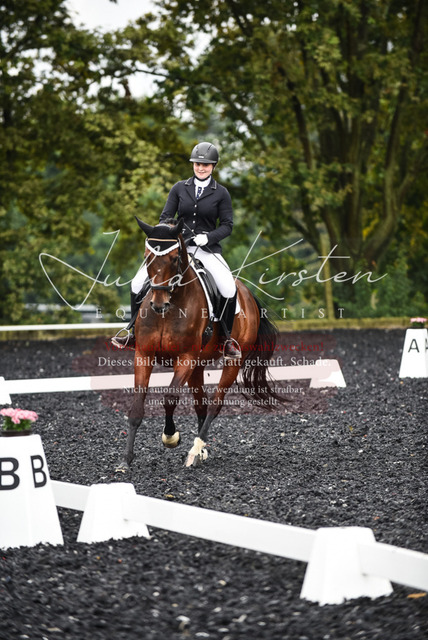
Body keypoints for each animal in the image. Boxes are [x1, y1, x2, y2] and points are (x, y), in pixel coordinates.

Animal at [117, 217, 286, 470]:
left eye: (174, 258)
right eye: (147, 257)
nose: (158, 304)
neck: (171, 307)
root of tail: (247, 293)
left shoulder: (185, 357)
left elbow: (170, 398)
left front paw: (170, 437)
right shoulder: (143, 354)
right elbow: (137, 407)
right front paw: (126, 461)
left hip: (231, 360)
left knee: (215, 405)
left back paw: (194, 452)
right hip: (197, 365)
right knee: (201, 405)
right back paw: (200, 451)